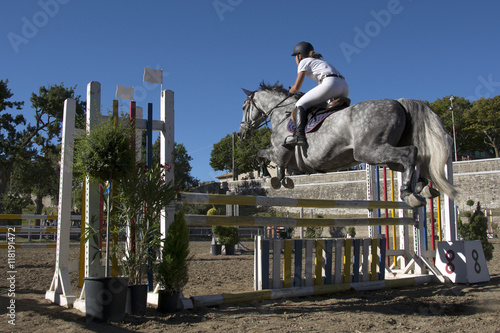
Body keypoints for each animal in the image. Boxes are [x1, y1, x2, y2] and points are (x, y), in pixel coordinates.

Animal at [237, 83, 458, 206]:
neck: (281, 115)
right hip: (385, 157)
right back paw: (423, 187)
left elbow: (260, 154)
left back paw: (408, 192)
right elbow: (264, 158)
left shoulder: (279, 152)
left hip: (369, 152)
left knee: (410, 153)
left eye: (244, 107)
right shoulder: (286, 158)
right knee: (415, 158)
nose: (241, 134)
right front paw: (281, 179)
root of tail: (399, 102)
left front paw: (272, 177)